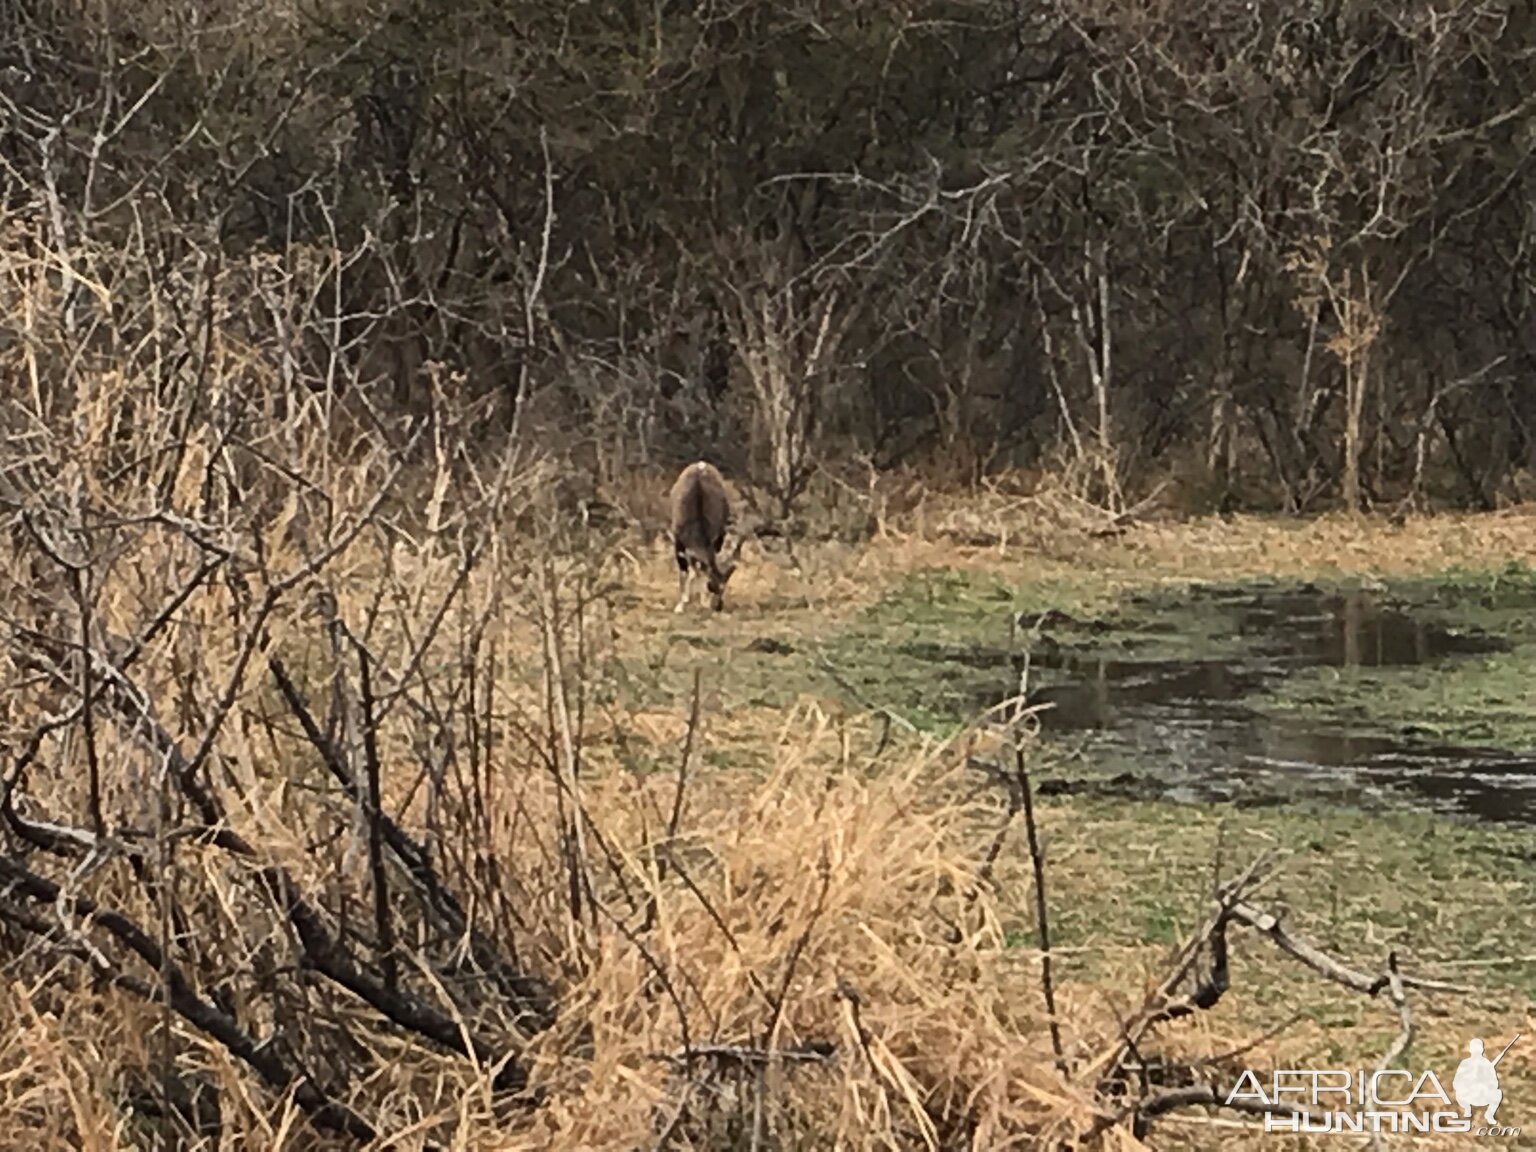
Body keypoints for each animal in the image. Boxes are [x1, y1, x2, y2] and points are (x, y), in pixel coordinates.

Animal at [669, 463, 746, 617]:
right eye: (712, 587)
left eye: (724, 587)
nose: (718, 606)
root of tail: (701, 465)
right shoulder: (678, 541)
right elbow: (685, 571)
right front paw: (680, 605)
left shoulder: (714, 540)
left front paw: (702, 602)